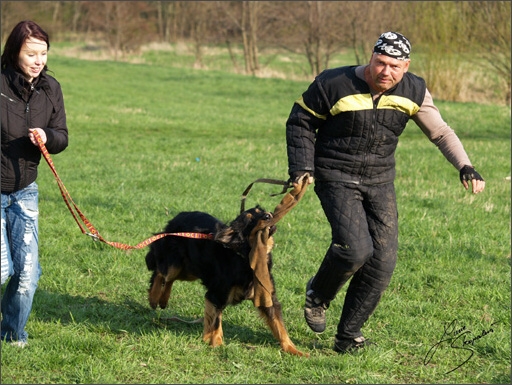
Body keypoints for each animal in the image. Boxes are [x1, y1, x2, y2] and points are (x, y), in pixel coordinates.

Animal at [146, 176, 310, 356]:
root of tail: (177, 217)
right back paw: (154, 298)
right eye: (248, 219)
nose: (269, 215)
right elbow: (216, 321)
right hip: (174, 263)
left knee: (169, 278)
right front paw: (217, 343)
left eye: (261, 212)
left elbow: (279, 326)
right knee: (160, 272)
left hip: (189, 271)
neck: (244, 257)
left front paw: (294, 350)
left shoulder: (267, 297)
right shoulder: (216, 294)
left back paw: (163, 300)